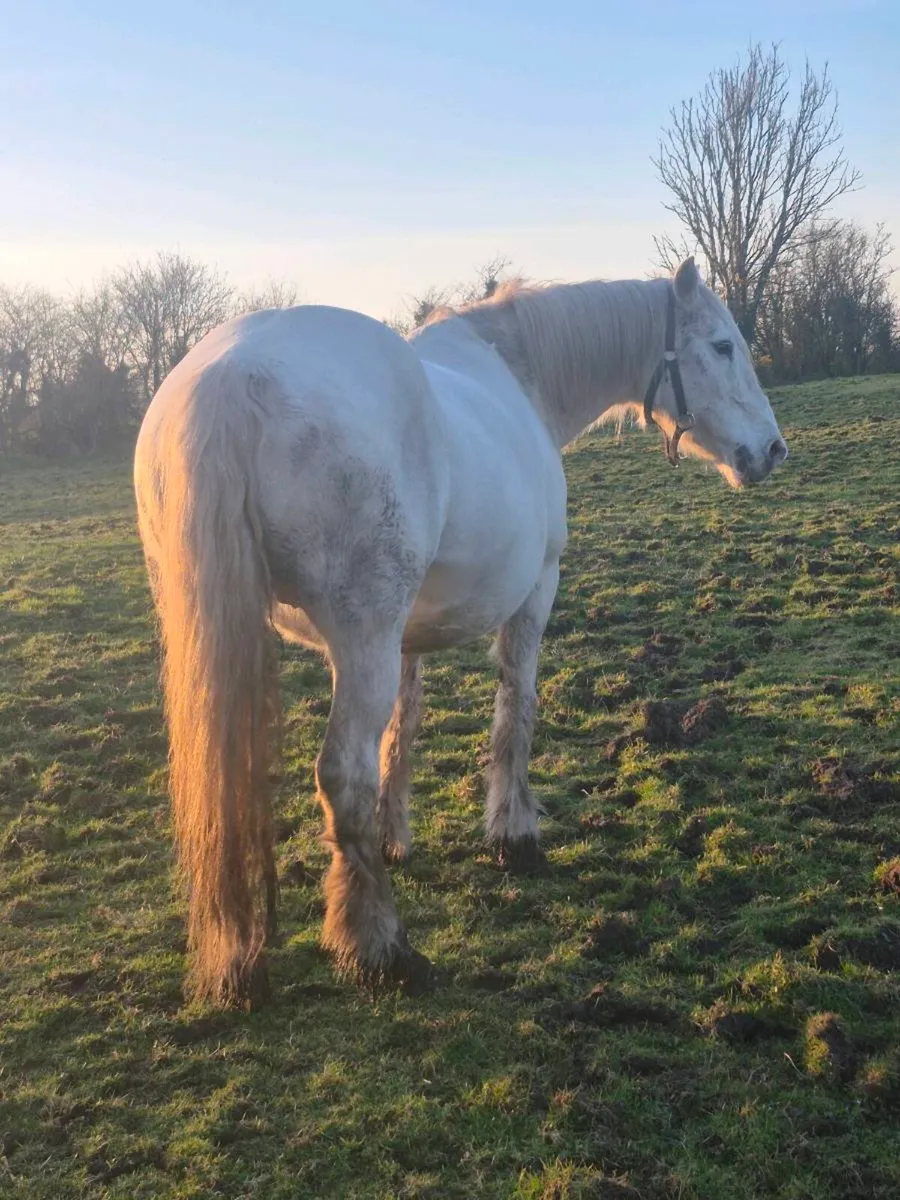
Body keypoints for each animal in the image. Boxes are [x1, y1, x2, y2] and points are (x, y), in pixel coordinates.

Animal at [133, 257, 788, 1006]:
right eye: (723, 346)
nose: (772, 450)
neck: (518, 371)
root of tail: (233, 377)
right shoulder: (535, 593)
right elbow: (516, 710)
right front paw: (514, 834)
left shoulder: (405, 637)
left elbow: (404, 726)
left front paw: (395, 836)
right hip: (360, 639)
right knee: (341, 775)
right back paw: (379, 948)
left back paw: (241, 960)